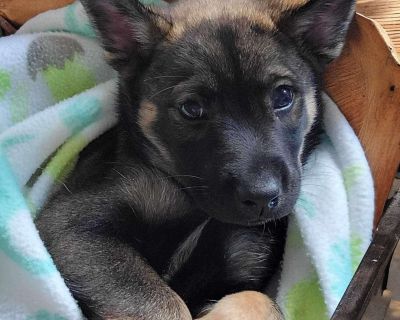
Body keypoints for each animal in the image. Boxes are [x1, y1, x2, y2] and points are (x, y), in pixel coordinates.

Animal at [36, 1, 356, 318]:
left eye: (283, 96)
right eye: (191, 108)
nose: (262, 198)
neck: (197, 207)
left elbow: (260, 299)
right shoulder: (74, 225)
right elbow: (166, 305)